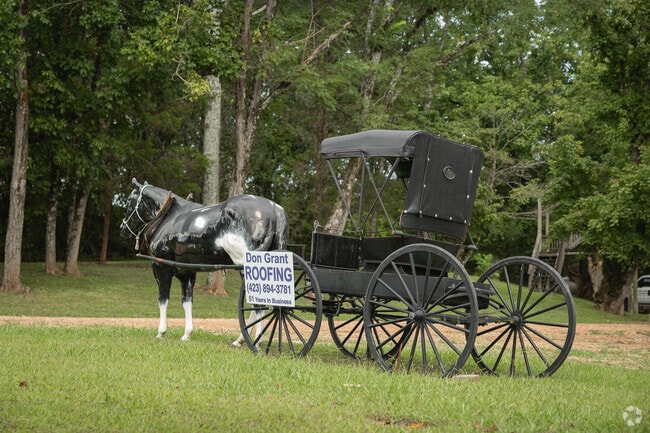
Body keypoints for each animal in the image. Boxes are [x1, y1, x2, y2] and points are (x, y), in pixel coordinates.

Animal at [120, 178, 289, 344]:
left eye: (128, 200)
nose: (122, 228)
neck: (170, 216)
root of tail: (274, 209)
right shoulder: (186, 273)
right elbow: (187, 302)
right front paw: (186, 334)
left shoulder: (161, 267)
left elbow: (163, 299)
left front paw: (161, 332)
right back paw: (241, 339)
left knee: (258, 302)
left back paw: (256, 340)